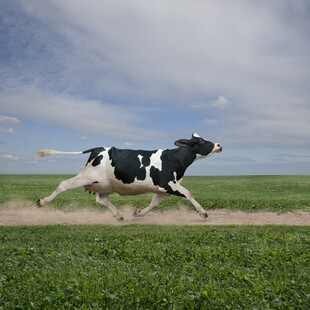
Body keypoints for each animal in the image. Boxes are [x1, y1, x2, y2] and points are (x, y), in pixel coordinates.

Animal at [37, 133, 223, 220]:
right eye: (200, 141)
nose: (219, 145)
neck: (174, 159)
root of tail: (97, 148)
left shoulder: (163, 188)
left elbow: (154, 204)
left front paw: (138, 213)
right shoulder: (169, 183)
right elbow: (189, 193)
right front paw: (203, 213)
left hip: (104, 184)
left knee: (102, 200)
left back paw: (119, 215)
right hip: (87, 176)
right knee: (63, 184)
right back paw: (41, 202)